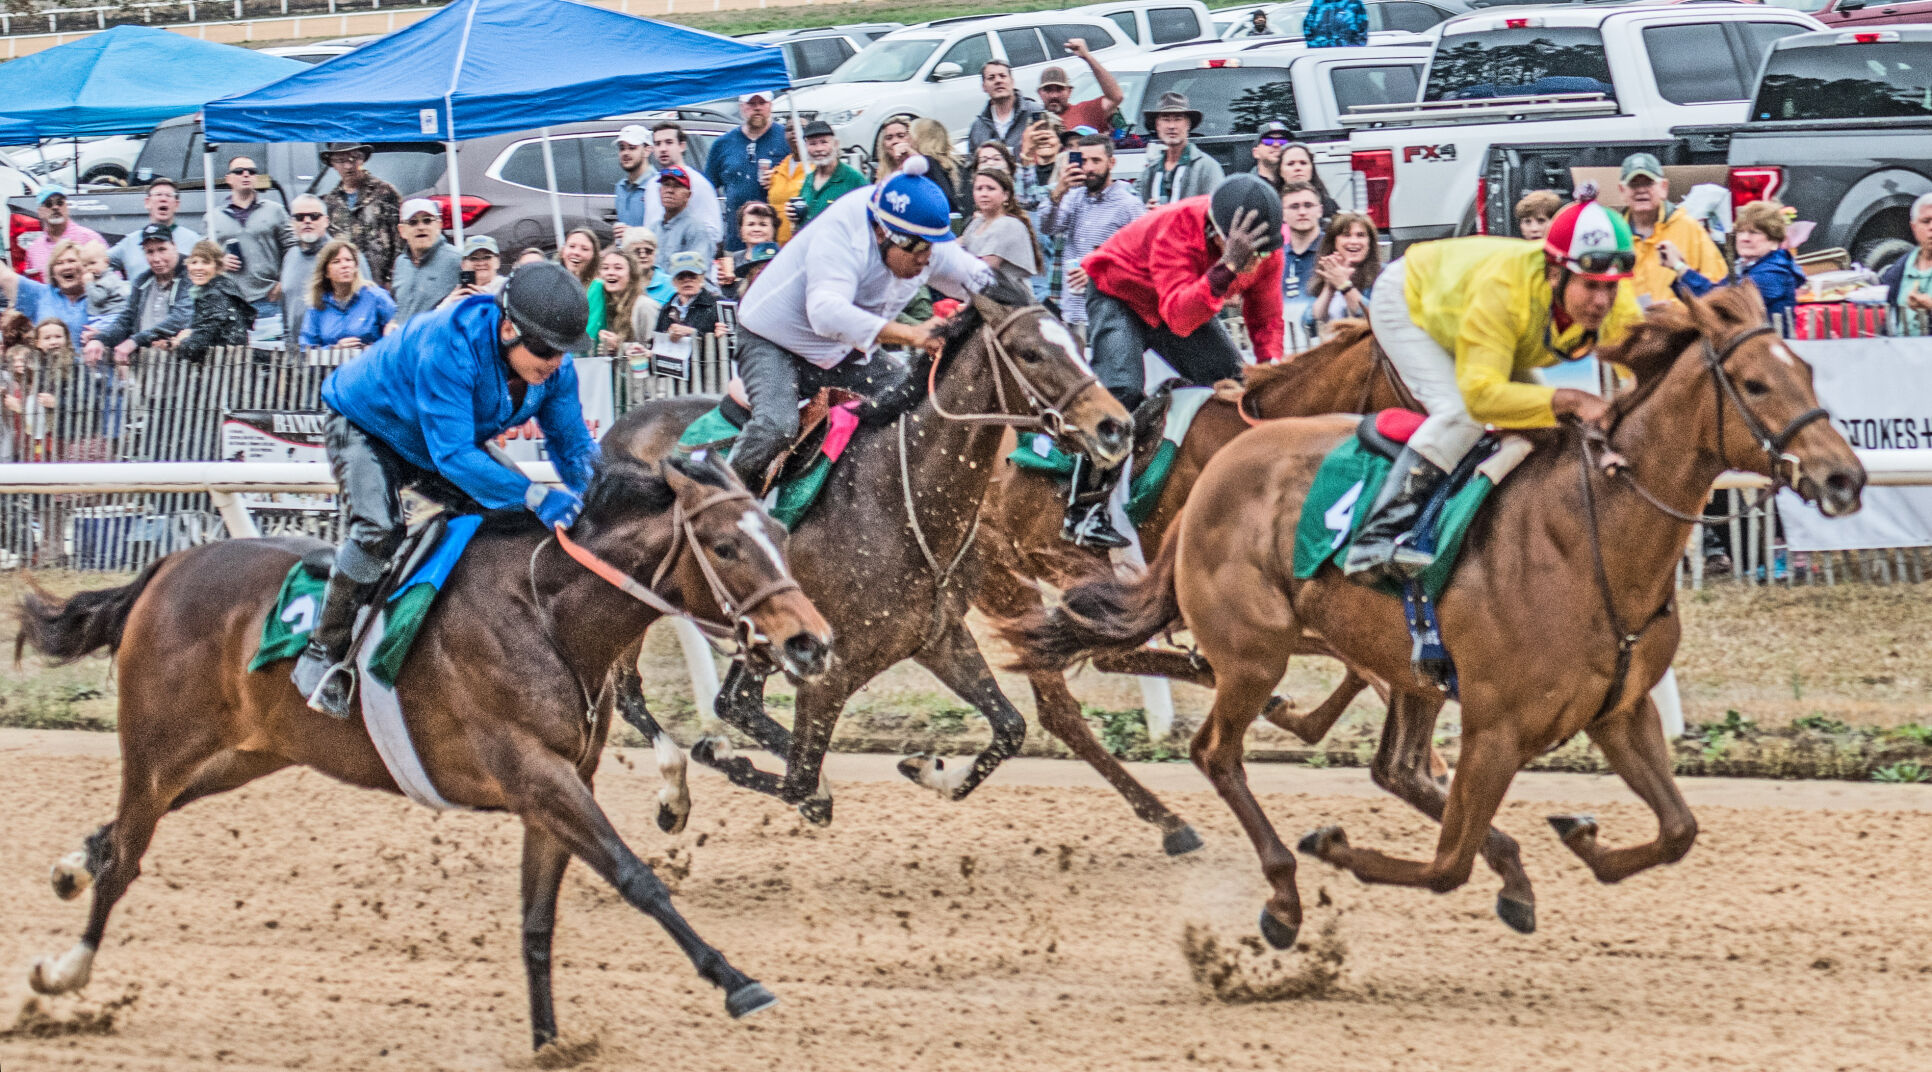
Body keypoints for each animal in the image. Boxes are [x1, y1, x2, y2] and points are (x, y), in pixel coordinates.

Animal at [15, 457, 834, 1050]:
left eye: (780, 533)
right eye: (726, 546)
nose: (812, 643)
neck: (547, 612)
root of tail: (166, 569)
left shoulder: (557, 785)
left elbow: (537, 920)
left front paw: (549, 1042)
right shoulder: (536, 775)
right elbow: (638, 877)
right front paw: (736, 981)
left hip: (248, 750)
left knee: (139, 822)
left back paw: (71, 867)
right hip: (159, 740)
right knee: (131, 847)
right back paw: (66, 970)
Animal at [606, 282, 1128, 826]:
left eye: (1077, 342)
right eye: (1030, 352)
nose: (1115, 426)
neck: (897, 496)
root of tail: (623, 426)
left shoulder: (936, 637)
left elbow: (1010, 728)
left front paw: (930, 771)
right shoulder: (830, 672)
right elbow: (798, 780)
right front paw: (726, 758)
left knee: (727, 701)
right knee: (645, 693)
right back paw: (675, 786)